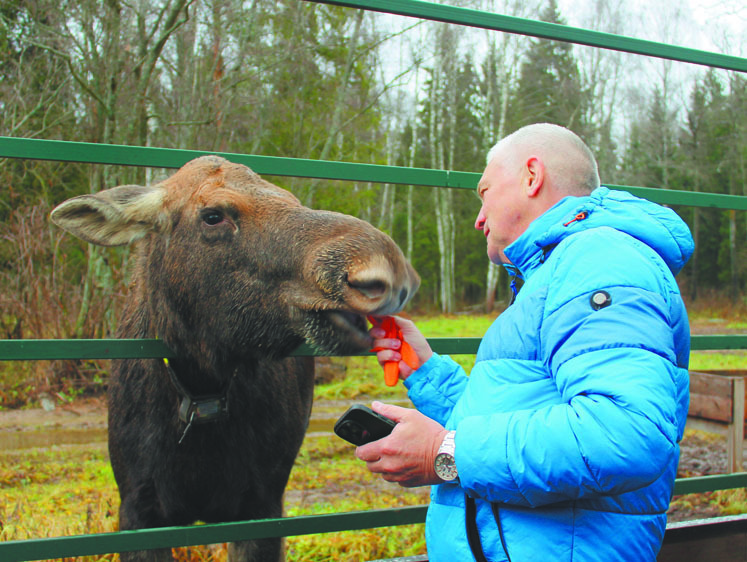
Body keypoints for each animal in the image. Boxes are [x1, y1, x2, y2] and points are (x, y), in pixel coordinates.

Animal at [51, 154, 420, 560]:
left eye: (292, 199)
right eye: (212, 215)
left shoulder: (263, 503)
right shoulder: (137, 507)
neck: (201, 391)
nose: (385, 268)